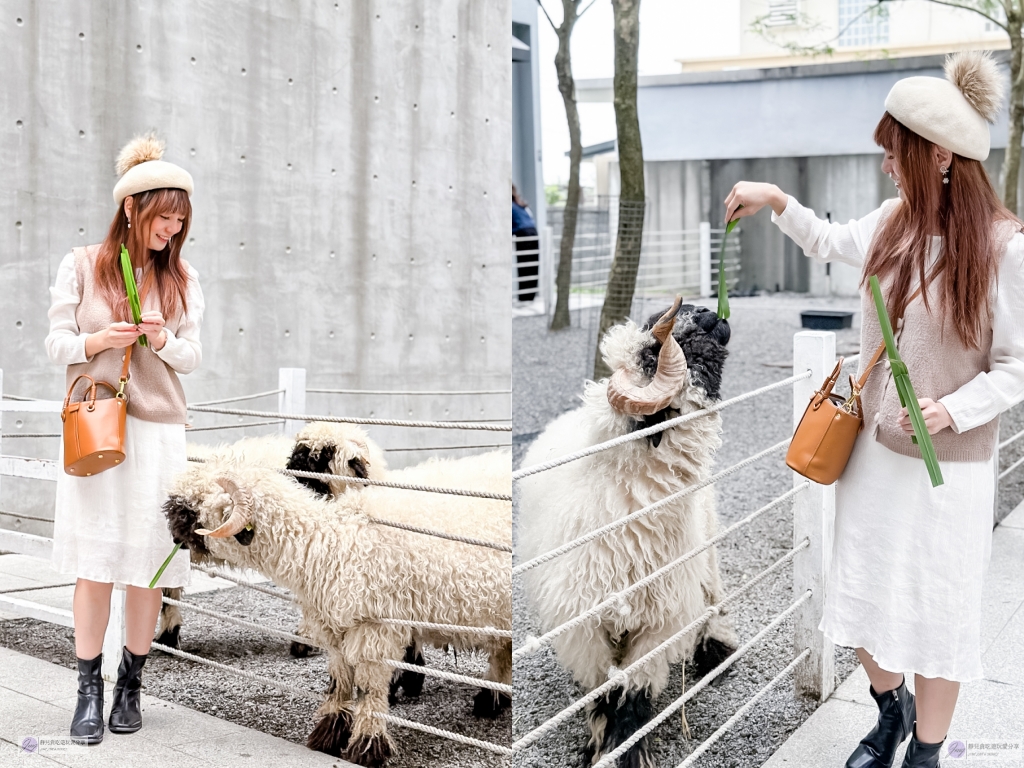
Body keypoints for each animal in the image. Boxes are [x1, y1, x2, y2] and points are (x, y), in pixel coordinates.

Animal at [163, 450, 512, 768]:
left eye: (193, 510)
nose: (171, 534)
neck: (326, 545)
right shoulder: (336, 631)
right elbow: (340, 683)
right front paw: (328, 736)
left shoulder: (374, 631)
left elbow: (369, 691)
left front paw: (368, 747)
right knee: (503, 652)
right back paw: (492, 701)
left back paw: (490, 700)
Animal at [520, 296, 737, 768]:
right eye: (653, 355)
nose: (706, 310)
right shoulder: (583, 629)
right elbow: (606, 691)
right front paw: (601, 746)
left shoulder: (660, 622)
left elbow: (634, 694)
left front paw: (632, 749)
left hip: (707, 547)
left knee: (713, 597)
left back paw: (717, 652)